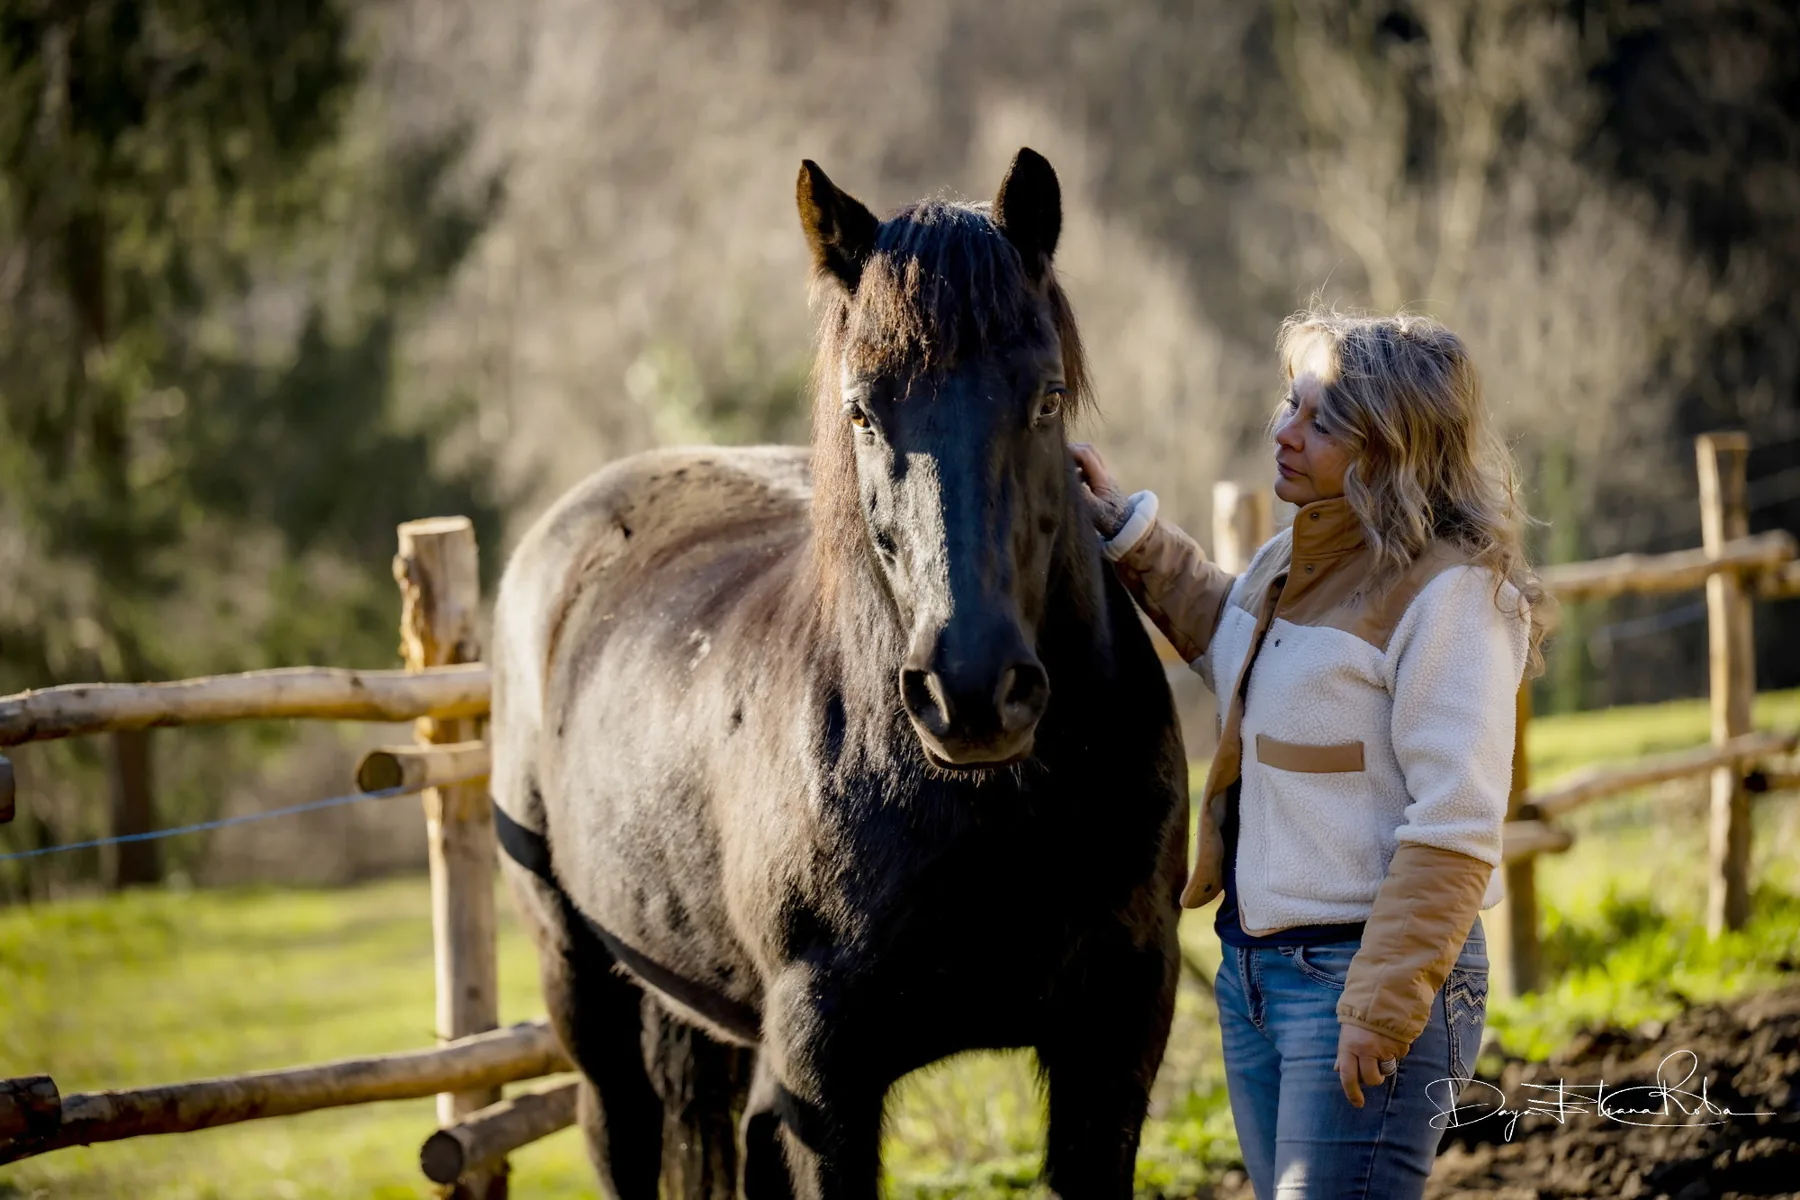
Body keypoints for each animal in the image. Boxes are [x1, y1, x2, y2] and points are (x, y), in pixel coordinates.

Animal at [489, 147, 1188, 1199]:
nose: (970, 693)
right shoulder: (825, 1084)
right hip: (583, 986)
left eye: (1047, 397)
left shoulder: (1115, 1035)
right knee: (619, 1130)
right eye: (861, 408)